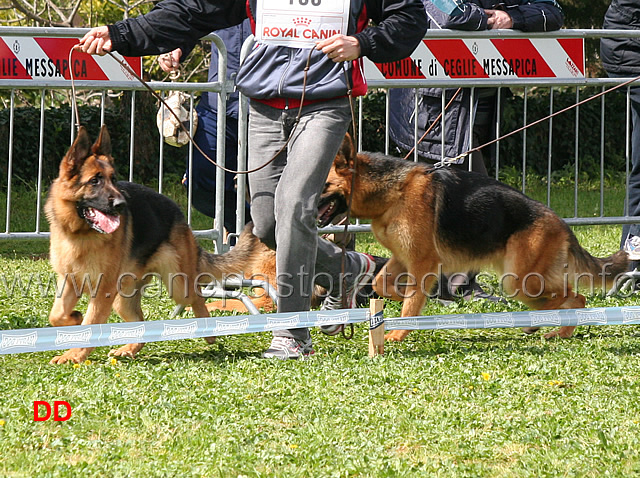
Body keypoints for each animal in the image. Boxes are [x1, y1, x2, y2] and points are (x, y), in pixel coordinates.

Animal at [45, 125, 272, 364]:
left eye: (113, 179)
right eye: (94, 181)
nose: (122, 204)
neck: (80, 233)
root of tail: (179, 214)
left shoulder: (103, 290)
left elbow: (90, 323)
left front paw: (74, 355)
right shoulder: (68, 281)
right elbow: (56, 315)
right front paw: (74, 318)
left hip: (177, 284)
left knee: (197, 295)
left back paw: (207, 330)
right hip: (122, 299)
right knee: (142, 322)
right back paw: (130, 348)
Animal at [318, 136, 628, 342]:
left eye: (324, 185)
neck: (395, 191)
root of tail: (562, 225)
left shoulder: (422, 262)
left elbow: (410, 301)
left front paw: (398, 332)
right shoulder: (403, 258)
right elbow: (383, 285)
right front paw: (399, 299)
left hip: (520, 284)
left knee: (576, 297)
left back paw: (550, 327)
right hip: (525, 283)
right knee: (569, 297)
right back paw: (548, 327)